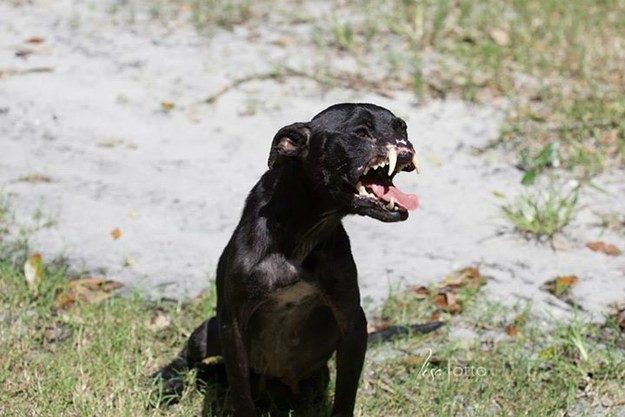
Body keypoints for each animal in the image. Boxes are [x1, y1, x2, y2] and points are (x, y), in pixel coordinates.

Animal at [153, 102, 422, 414]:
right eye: (361, 132)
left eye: (401, 127)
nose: (405, 143)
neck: (300, 234)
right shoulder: (232, 325)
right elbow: (240, 393)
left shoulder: (352, 322)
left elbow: (346, 391)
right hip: (208, 331)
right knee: (190, 357)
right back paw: (168, 381)